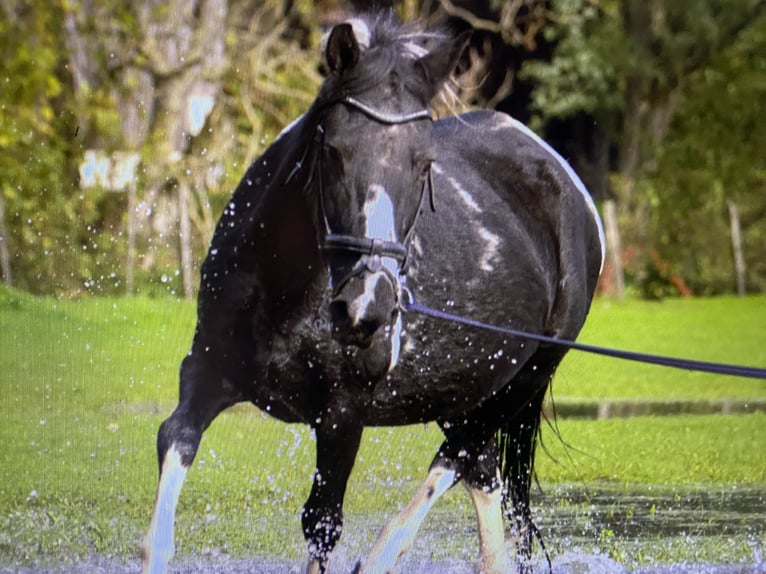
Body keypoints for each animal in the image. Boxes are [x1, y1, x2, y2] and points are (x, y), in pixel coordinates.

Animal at [142, 13, 608, 574]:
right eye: (333, 150)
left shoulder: (342, 416)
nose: (367, 306)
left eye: (423, 163)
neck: (289, 296)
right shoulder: (207, 371)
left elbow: (323, 522)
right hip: (465, 392)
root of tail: (565, 180)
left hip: (520, 383)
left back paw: (381, 553)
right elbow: (174, 449)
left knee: (452, 463)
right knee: (482, 484)